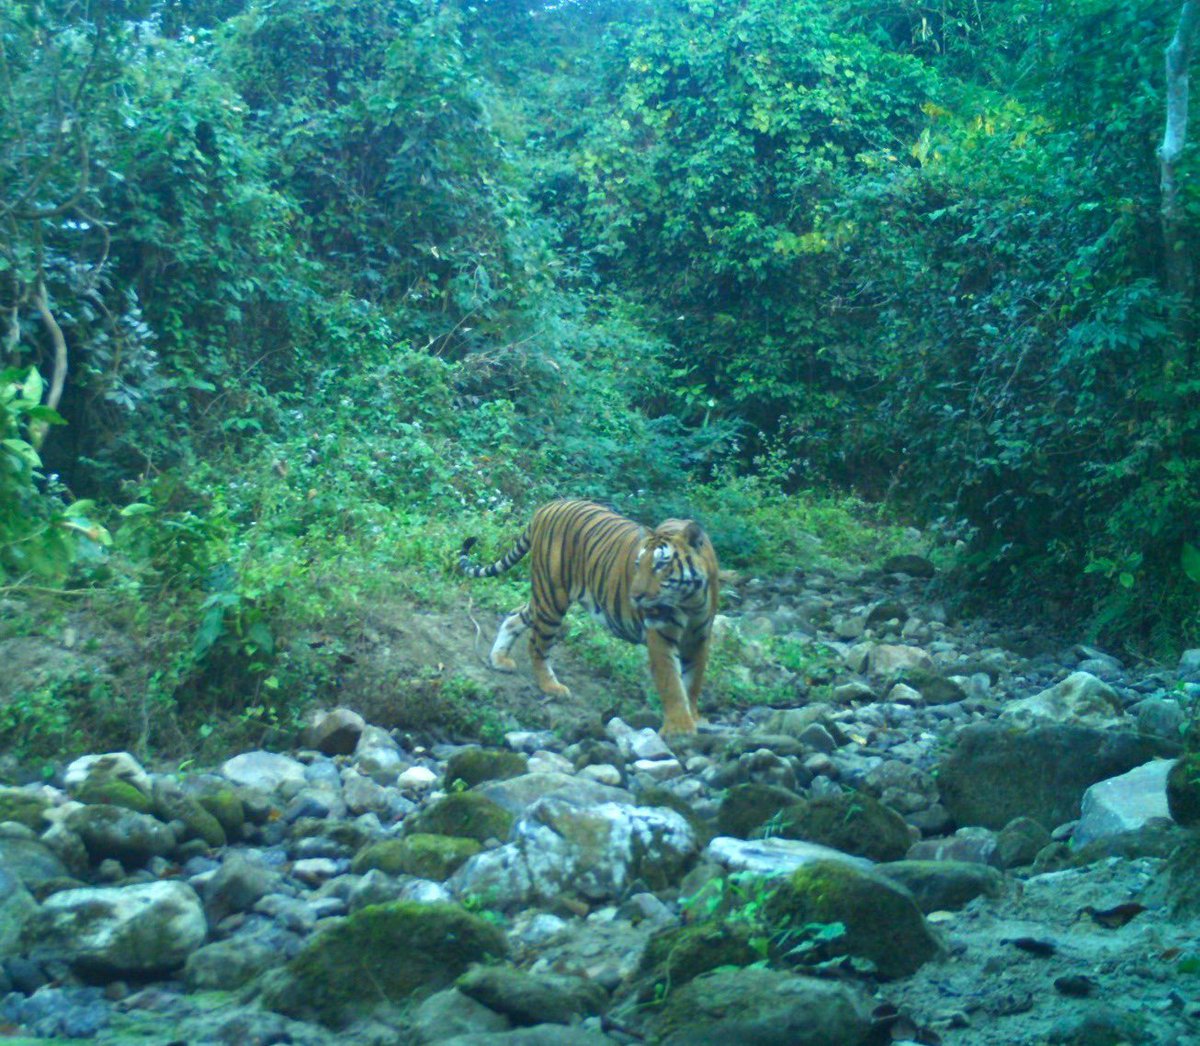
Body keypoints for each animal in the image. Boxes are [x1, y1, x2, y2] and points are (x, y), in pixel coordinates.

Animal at [458, 499, 719, 735]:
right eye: (638, 564)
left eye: (661, 564)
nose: (635, 596)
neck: (689, 600)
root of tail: (546, 507)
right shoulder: (661, 636)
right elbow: (672, 684)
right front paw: (680, 728)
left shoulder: (699, 639)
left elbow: (692, 683)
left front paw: (694, 718)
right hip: (553, 596)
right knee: (537, 645)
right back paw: (551, 686)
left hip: (543, 599)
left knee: (514, 616)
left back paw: (499, 659)